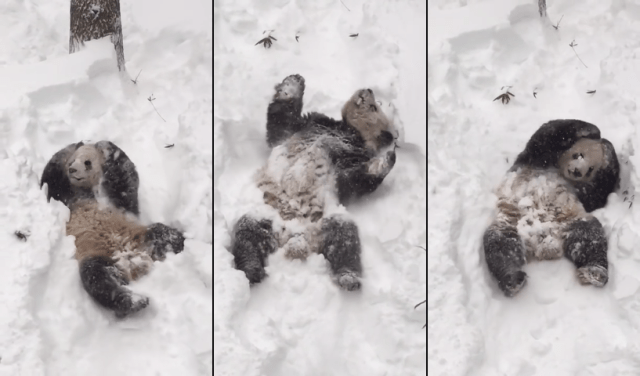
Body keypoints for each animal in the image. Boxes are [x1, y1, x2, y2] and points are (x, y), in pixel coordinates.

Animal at [41, 141, 184, 318]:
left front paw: (106, 148)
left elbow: (125, 182)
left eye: (87, 162)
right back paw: (135, 301)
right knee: (98, 278)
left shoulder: (118, 204)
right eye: (72, 162)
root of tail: (132, 262)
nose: (72, 170)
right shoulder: (66, 201)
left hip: (141, 235)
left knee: (167, 235)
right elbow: (50, 182)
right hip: (96, 254)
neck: (84, 191)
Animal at [230, 73, 398, 290]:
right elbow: (281, 121)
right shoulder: (309, 125)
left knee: (345, 240)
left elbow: (354, 182)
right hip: (264, 216)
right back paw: (251, 271)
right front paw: (293, 83)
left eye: (374, 107)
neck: (347, 130)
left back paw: (348, 277)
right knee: (247, 235)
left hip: (328, 220)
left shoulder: (352, 156)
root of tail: (295, 237)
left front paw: (385, 160)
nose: (367, 90)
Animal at [484, 119, 620, 296]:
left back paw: (594, 272)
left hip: (573, 221)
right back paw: (511, 278)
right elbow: (547, 134)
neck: (561, 171)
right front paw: (593, 132)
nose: (577, 171)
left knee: (590, 239)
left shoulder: (584, 194)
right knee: (500, 245)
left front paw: (607, 149)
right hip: (511, 222)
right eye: (578, 155)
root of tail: (544, 245)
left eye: (590, 169)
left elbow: (597, 194)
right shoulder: (535, 158)